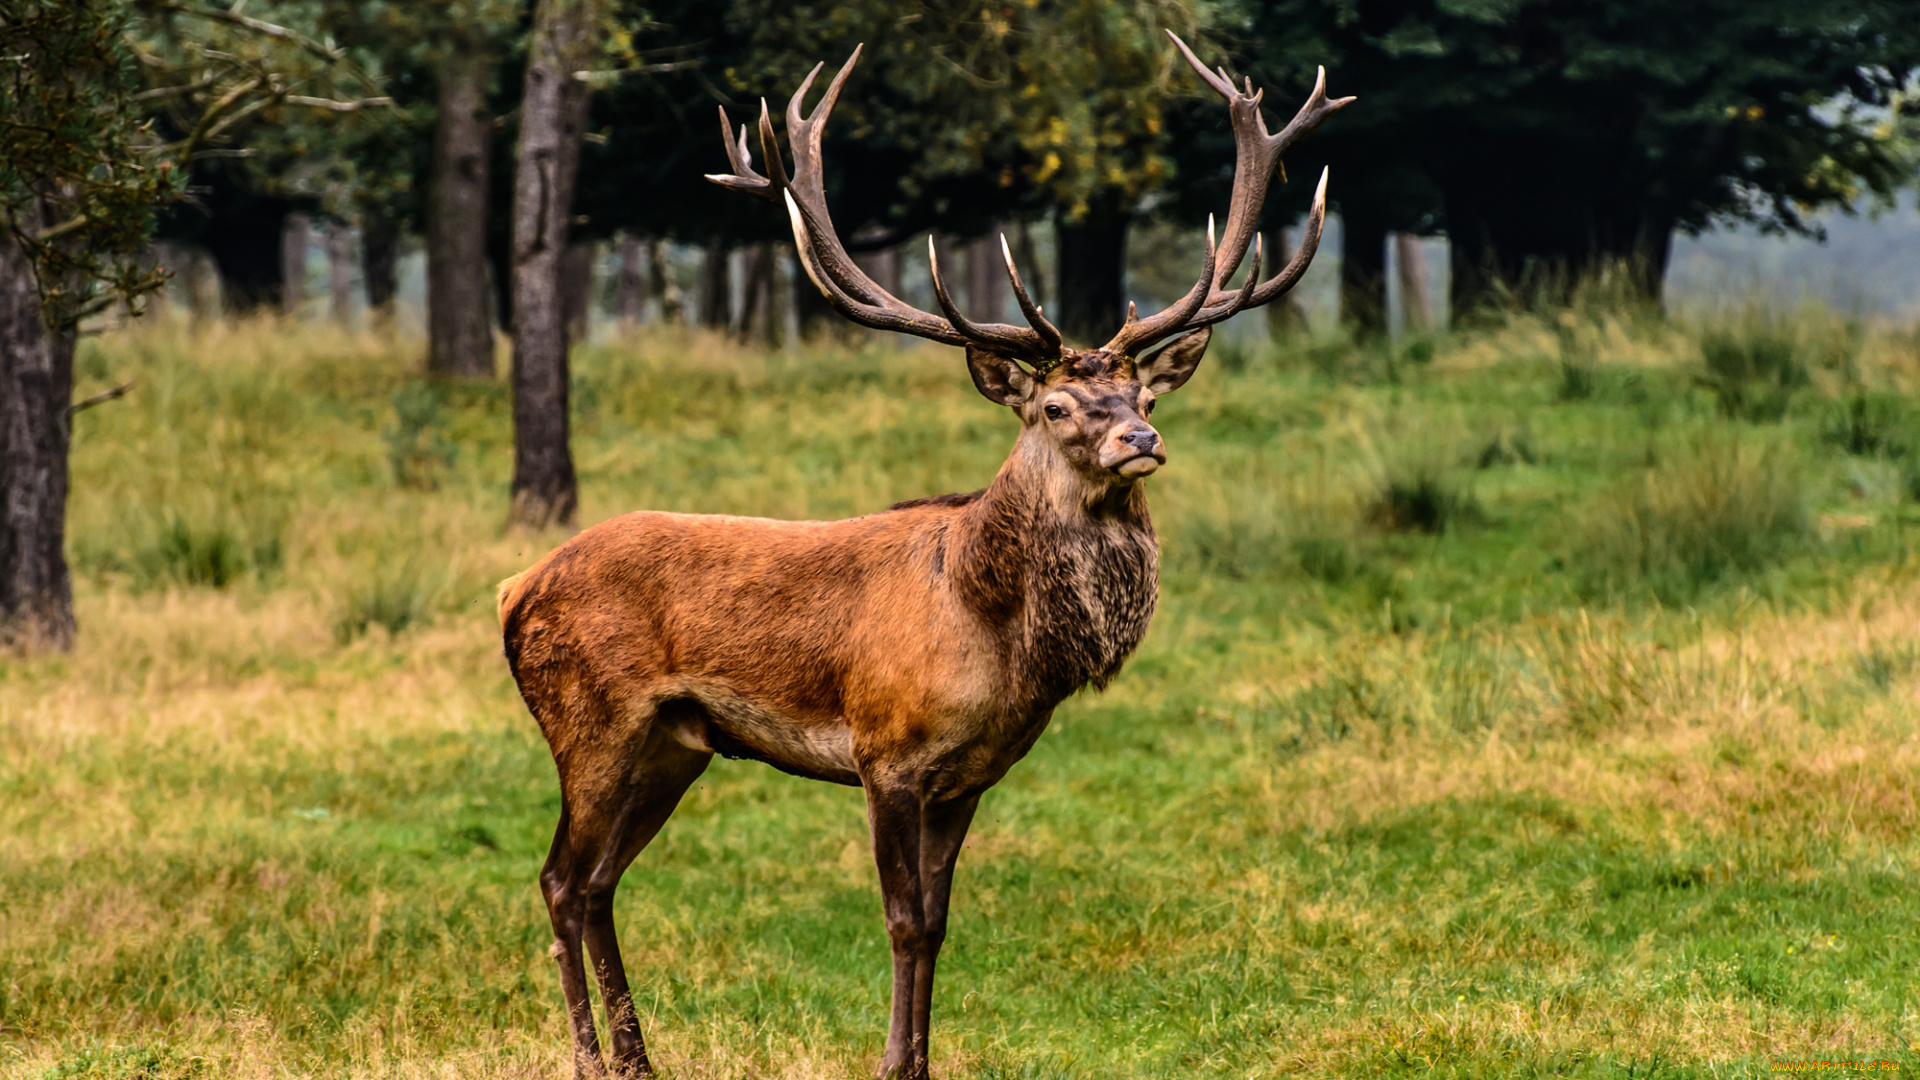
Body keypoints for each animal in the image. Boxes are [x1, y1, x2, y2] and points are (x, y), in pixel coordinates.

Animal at [503, 33, 1359, 1076]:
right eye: (1056, 406)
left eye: (1147, 397)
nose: (1141, 441)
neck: (996, 641)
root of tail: (515, 588)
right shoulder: (887, 753)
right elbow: (904, 920)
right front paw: (890, 1063)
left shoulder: (971, 775)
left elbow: (943, 923)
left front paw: (920, 1059)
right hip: (590, 720)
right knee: (558, 878)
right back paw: (592, 1056)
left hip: (673, 744)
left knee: (597, 883)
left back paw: (638, 1057)